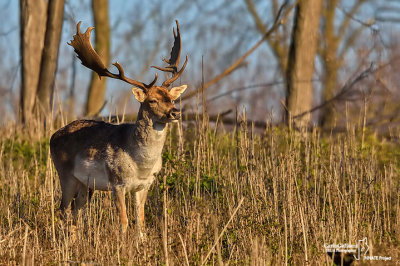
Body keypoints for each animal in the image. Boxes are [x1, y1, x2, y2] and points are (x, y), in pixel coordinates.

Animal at [49, 20, 188, 239]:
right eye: (152, 100)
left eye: (171, 98)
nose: (175, 112)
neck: (141, 164)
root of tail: (53, 136)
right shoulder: (117, 183)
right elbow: (124, 222)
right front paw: (122, 244)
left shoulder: (145, 185)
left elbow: (140, 222)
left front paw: (141, 243)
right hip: (65, 174)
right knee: (62, 210)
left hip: (85, 184)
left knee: (75, 210)